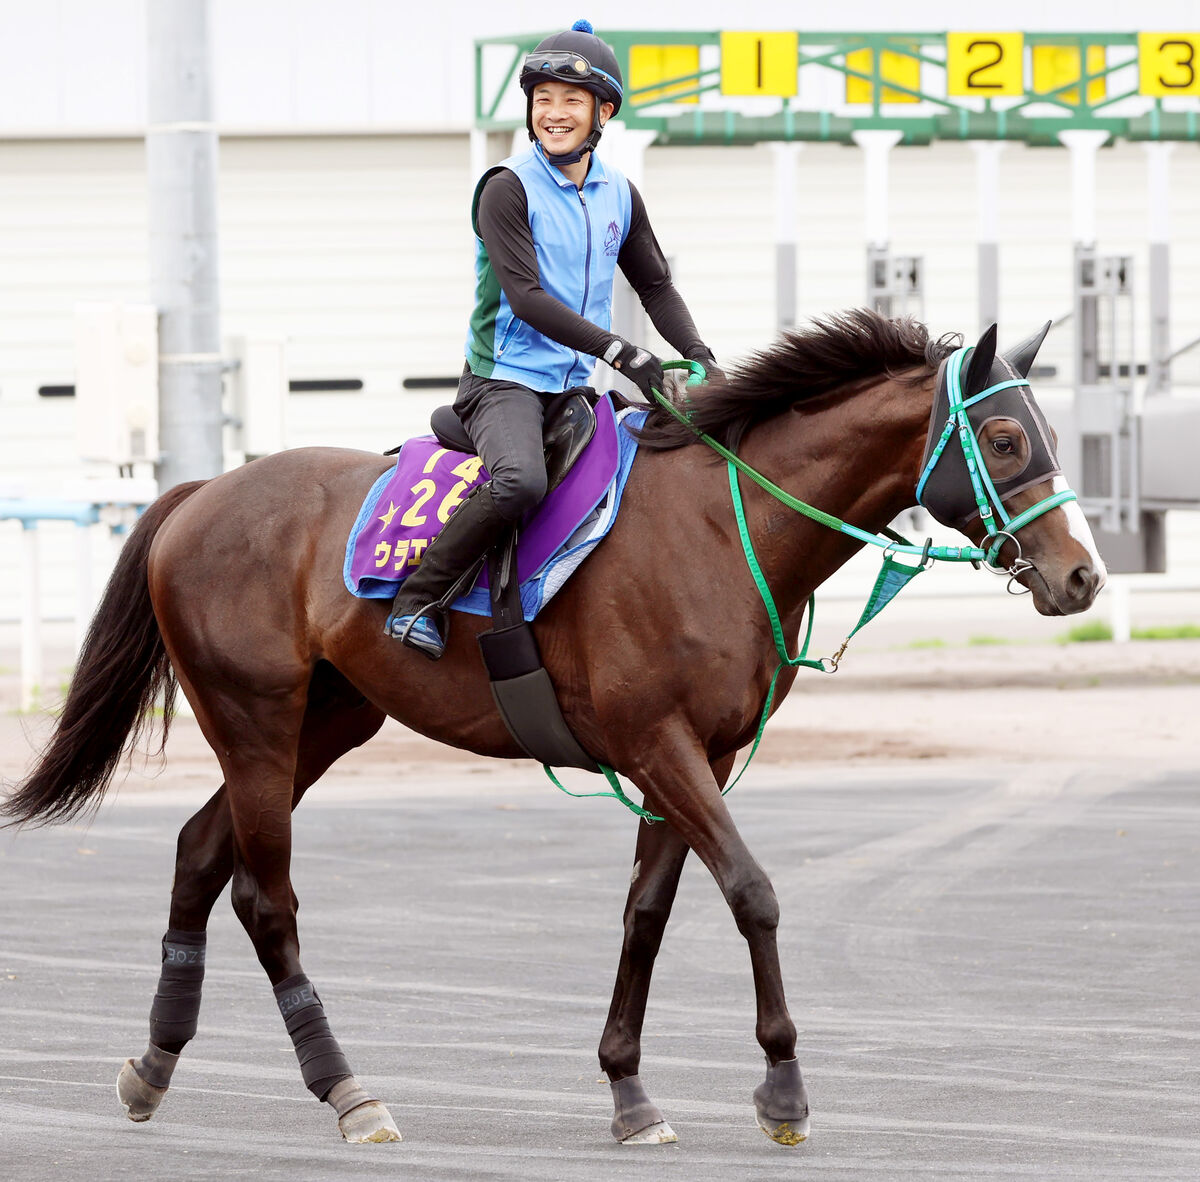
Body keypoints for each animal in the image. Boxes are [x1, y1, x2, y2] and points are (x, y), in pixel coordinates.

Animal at [0, 312, 1104, 1142]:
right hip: (255, 717)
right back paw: (346, 1089)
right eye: (1005, 441)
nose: (1083, 575)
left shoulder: (696, 758)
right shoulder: (659, 744)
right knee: (266, 900)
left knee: (197, 849)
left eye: (1043, 433)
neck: (722, 524)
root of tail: (201, 493)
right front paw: (784, 1086)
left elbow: (646, 914)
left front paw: (628, 1088)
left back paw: (153, 1064)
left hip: (328, 721)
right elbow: (752, 892)